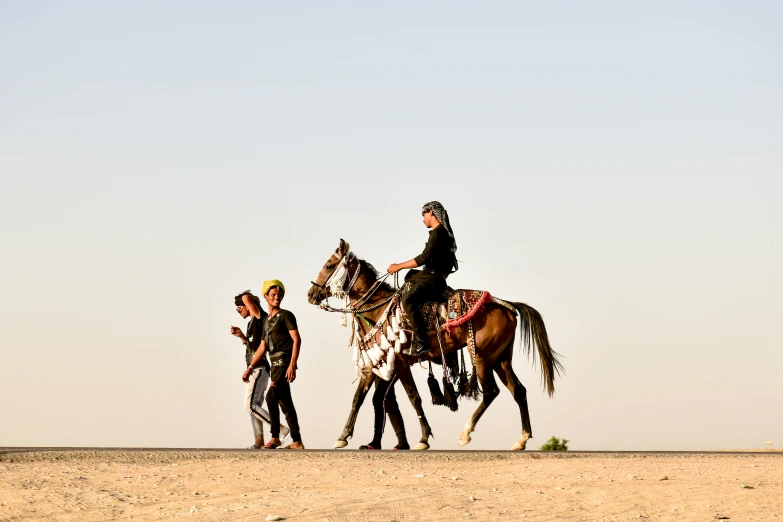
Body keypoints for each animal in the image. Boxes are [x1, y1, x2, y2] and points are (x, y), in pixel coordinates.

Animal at [308, 240, 564, 446]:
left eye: (329, 266)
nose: (310, 294)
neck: (378, 310)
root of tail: (508, 306)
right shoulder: (376, 364)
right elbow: (358, 399)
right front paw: (343, 437)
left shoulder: (400, 363)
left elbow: (414, 398)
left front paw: (423, 438)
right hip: (501, 358)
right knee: (518, 390)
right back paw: (521, 439)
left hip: (482, 357)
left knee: (491, 391)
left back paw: (466, 434)